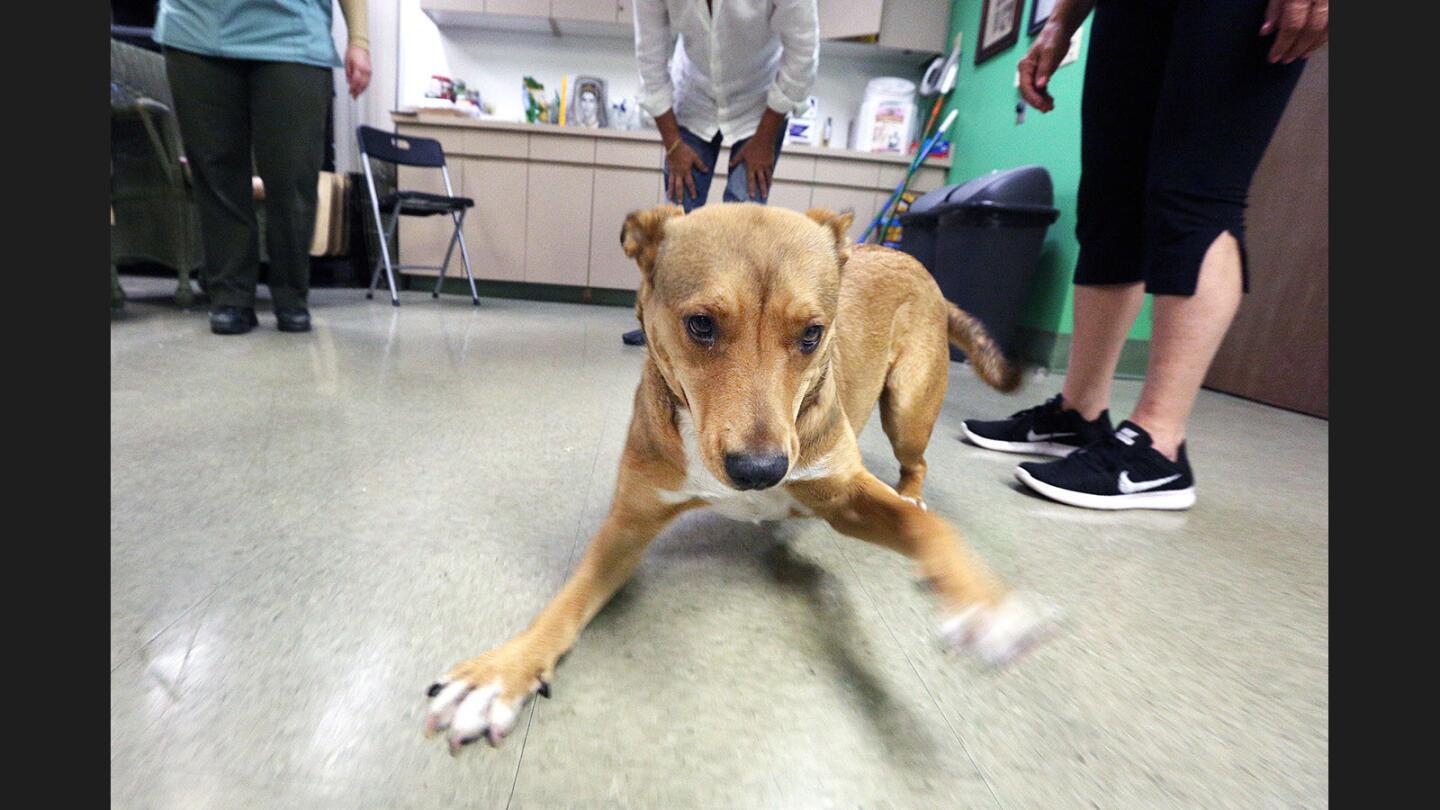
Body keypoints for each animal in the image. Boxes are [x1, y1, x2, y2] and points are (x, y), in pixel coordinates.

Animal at [420, 201, 1054, 749]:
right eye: (700, 324)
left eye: (812, 334)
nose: (760, 472)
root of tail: (908, 257)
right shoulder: (631, 520)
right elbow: (566, 601)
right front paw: (501, 673)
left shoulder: (843, 494)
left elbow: (930, 530)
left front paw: (984, 604)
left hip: (910, 406)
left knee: (915, 464)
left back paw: (914, 496)